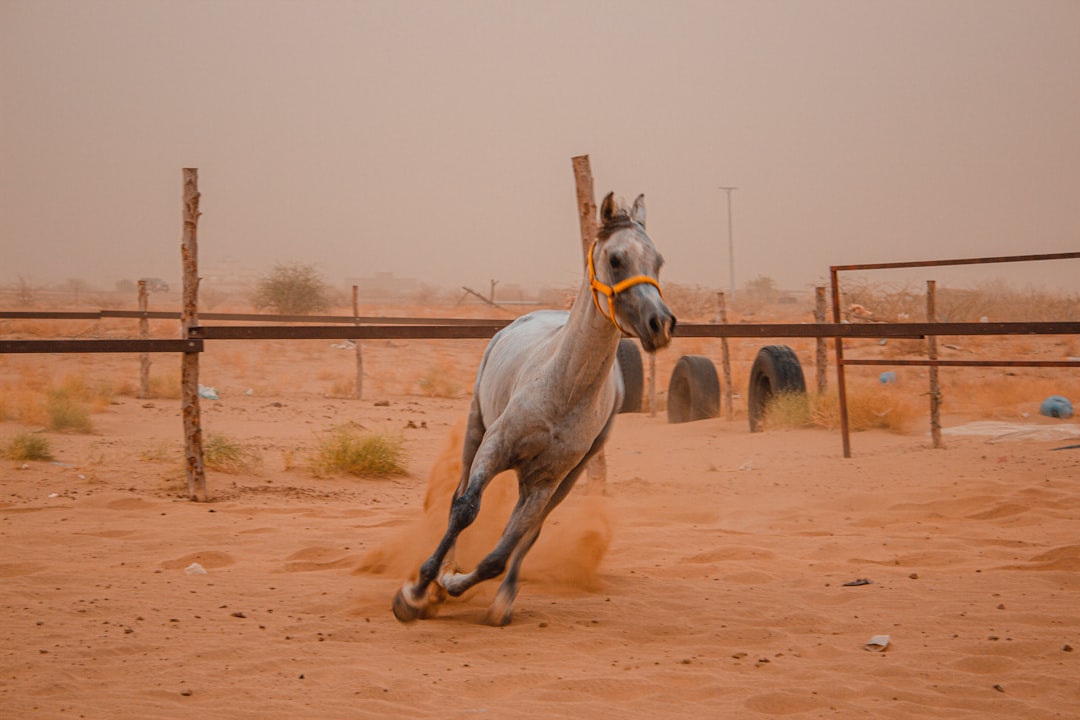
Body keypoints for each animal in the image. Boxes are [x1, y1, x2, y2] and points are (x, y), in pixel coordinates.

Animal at [392, 192, 676, 626]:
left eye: (657, 261)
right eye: (616, 259)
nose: (660, 324)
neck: (562, 390)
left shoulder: (547, 480)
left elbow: (503, 551)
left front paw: (453, 585)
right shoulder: (494, 447)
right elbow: (465, 509)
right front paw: (416, 591)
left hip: (567, 477)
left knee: (528, 533)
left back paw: (500, 597)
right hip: (475, 430)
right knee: (458, 496)